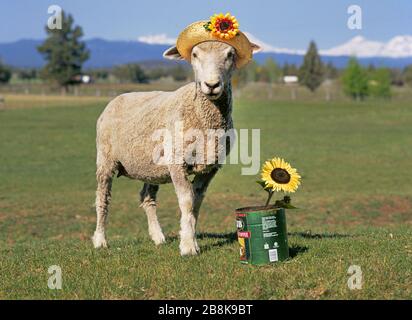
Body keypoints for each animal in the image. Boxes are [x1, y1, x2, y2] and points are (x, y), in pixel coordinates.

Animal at [93, 40, 260, 255]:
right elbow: (187, 200)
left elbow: (196, 201)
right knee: (102, 198)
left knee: (147, 197)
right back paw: (100, 240)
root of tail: (116, 99)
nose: (212, 85)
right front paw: (188, 246)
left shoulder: (211, 167)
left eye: (230, 54)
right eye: (195, 54)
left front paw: (191, 239)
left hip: (151, 167)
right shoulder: (176, 161)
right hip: (105, 158)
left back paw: (158, 237)